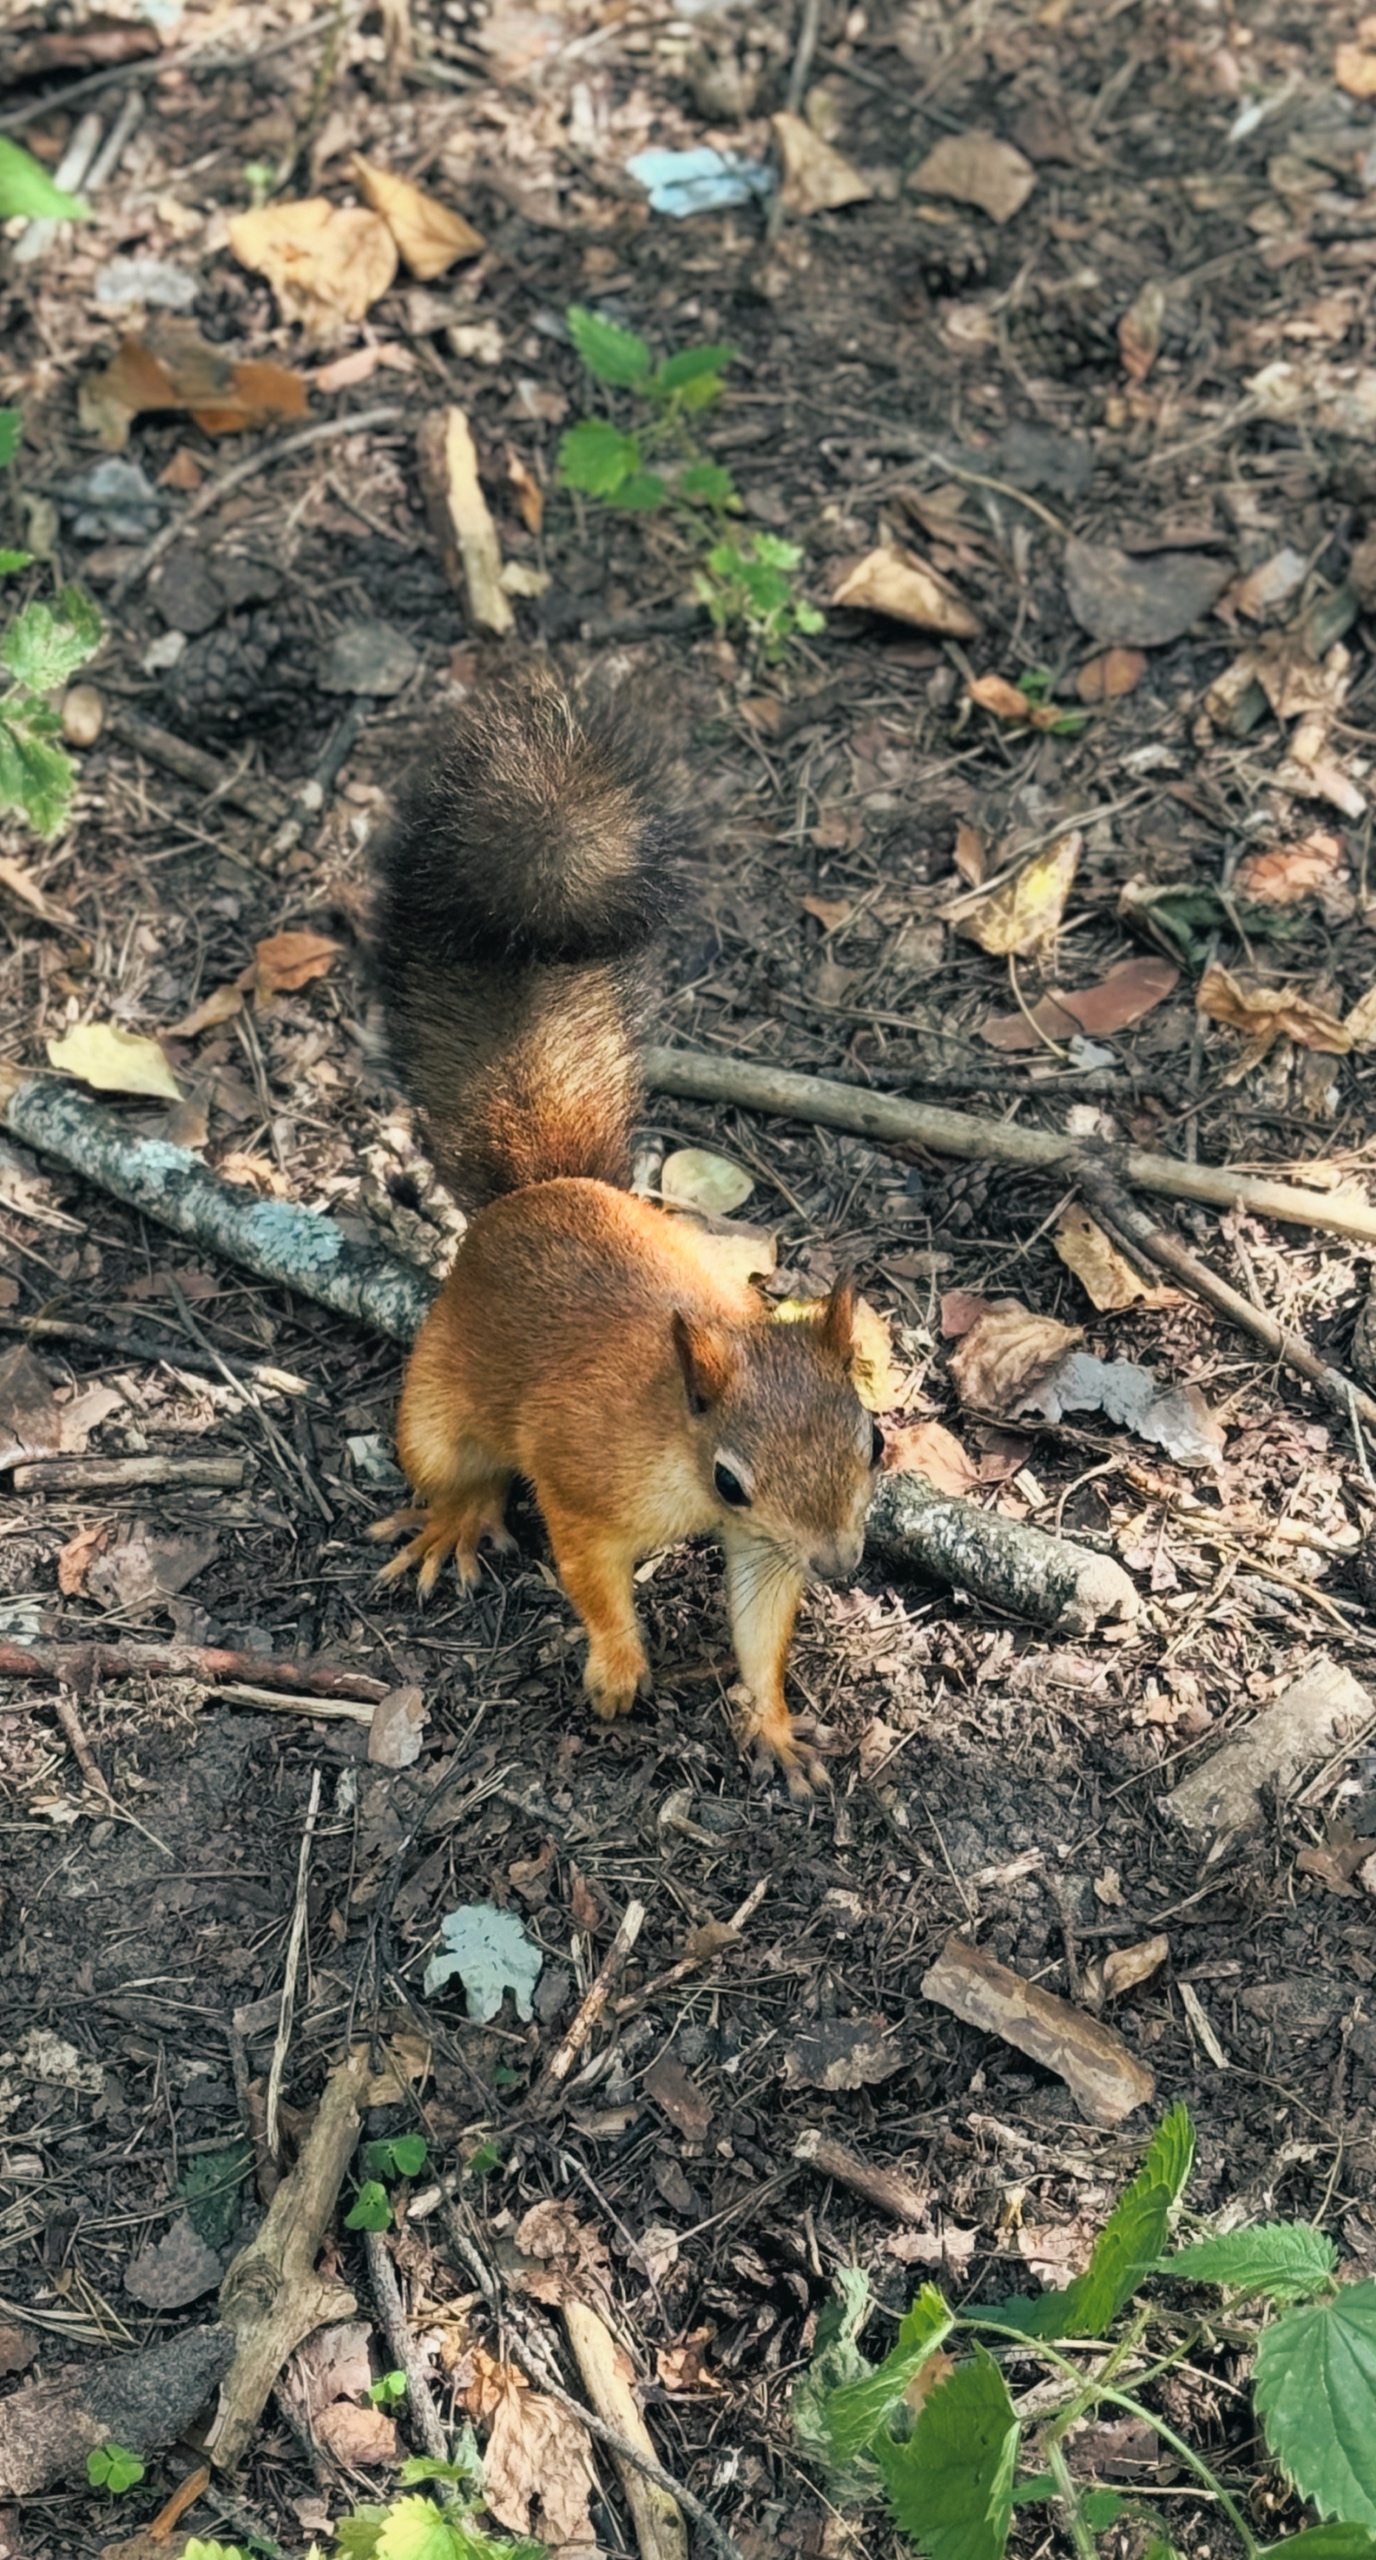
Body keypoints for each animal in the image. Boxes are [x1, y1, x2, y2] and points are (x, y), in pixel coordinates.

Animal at [369, 666, 881, 1792]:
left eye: (874, 1438)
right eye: (731, 1474)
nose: (841, 1562)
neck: (682, 1456)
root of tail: (535, 1190)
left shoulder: (763, 1545)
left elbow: (759, 1623)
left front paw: (774, 1724)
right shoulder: (579, 1476)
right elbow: (587, 1571)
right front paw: (617, 1666)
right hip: (433, 1406)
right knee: (456, 1470)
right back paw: (455, 1521)